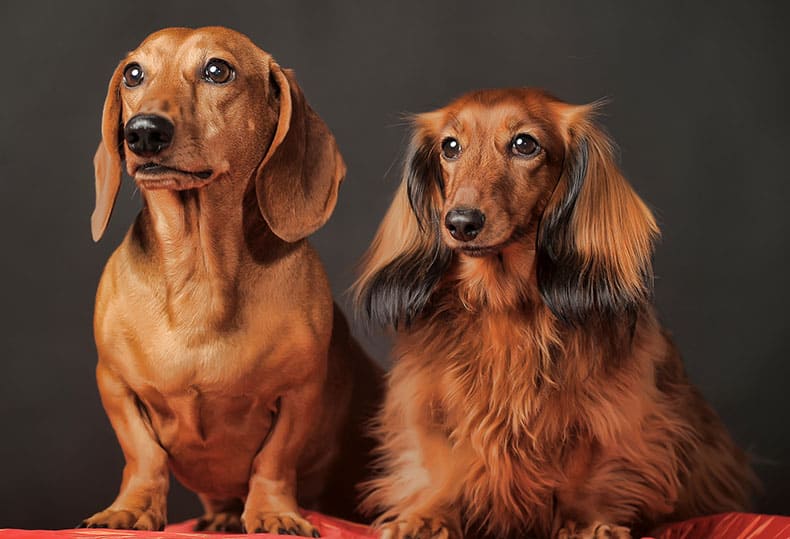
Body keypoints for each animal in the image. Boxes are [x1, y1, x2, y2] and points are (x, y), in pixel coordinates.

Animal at [82, 26, 386, 536]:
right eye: (134, 73)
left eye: (217, 70)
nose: (142, 132)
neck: (199, 276)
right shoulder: (115, 383)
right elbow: (143, 455)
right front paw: (131, 509)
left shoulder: (300, 391)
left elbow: (273, 460)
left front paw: (273, 512)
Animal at [356, 89, 756, 539]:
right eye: (450, 147)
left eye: (524, 144)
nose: (460, 222)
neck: (504, 305)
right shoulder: (427, 401)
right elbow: (438, 465)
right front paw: (427, 517)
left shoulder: (613, 411)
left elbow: (589, 470)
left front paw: (586, 523)